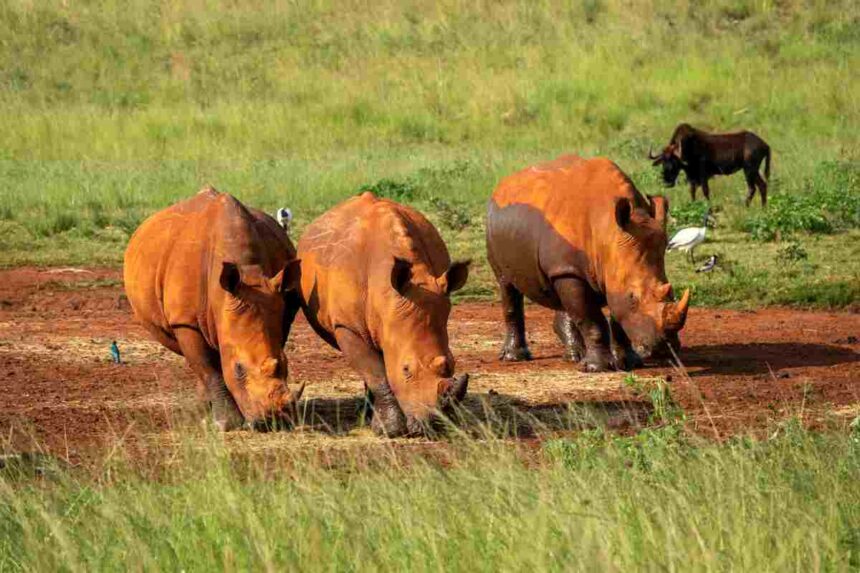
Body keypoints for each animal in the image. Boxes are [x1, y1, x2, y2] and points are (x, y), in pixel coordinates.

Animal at [124, 188, 304, 430]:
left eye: (286, 363)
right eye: (239, 369)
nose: (271, 421)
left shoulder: (279, 309)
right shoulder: (185, 320)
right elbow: (209, 368)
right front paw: (226, 423)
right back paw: (201, 412)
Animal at [297, 192, 470, 436]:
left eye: (453, 363)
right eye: (406, 369)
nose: (434, 426)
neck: (388, 302)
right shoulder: (346, 326)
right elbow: (376, 373)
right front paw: (390, 429)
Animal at [486, 155, 690, 372]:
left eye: (672, 293)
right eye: (633, 297)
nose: (665, 348)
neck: (608, 231)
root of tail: (501, 186)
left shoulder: (612, 265)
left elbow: (615, 314)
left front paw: (630, 363)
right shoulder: (573, 270)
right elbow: (591, 319)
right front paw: (597, 368)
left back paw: (573, 357)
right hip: (494, 227)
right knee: (507, 284)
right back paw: (515, 357)